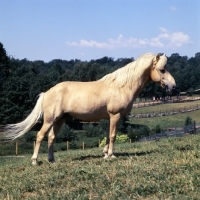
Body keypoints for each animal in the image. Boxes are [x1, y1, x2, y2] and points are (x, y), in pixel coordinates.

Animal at [0, 53, 175, 164]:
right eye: (162, 69)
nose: (173, 86)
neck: (121, 86)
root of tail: (47, 92)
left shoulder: (111, 117)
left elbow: (109, 135)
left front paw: (105, 154)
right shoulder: (115, 115)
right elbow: (113, 135)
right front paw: (111, 156)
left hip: (60, 120)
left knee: (51, 138)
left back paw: (52, 160)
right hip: (50, 120)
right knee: (40, 136)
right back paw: (35, 160)